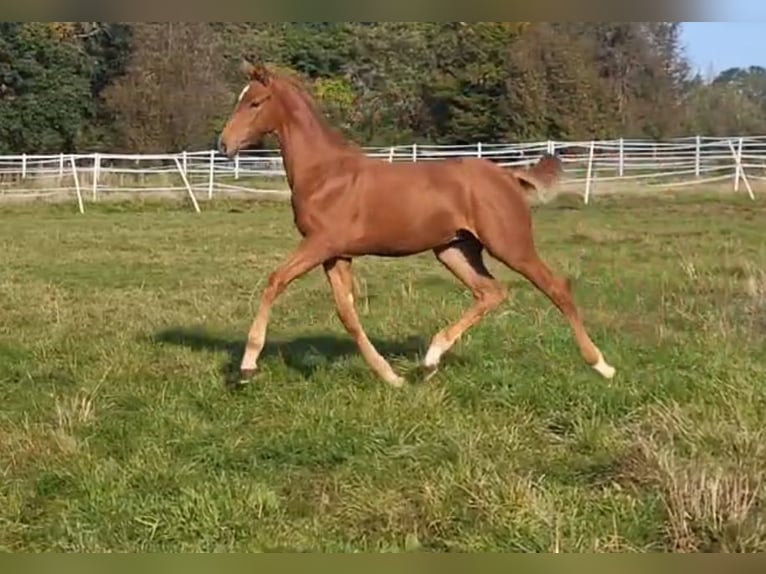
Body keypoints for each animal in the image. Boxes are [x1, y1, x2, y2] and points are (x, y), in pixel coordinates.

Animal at [218, 60, 616, 390]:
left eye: (255, 103)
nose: (224, 145)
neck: (325, 173)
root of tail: (507, 175)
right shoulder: (336, 254)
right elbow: (347, 314)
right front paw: (391, 377)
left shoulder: (320, 244)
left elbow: (275, 281)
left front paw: (247, 366)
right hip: (454, 249)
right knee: (490, 292)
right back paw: (429, 362)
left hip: (510, 245)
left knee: (556, 288)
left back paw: (601, 365)